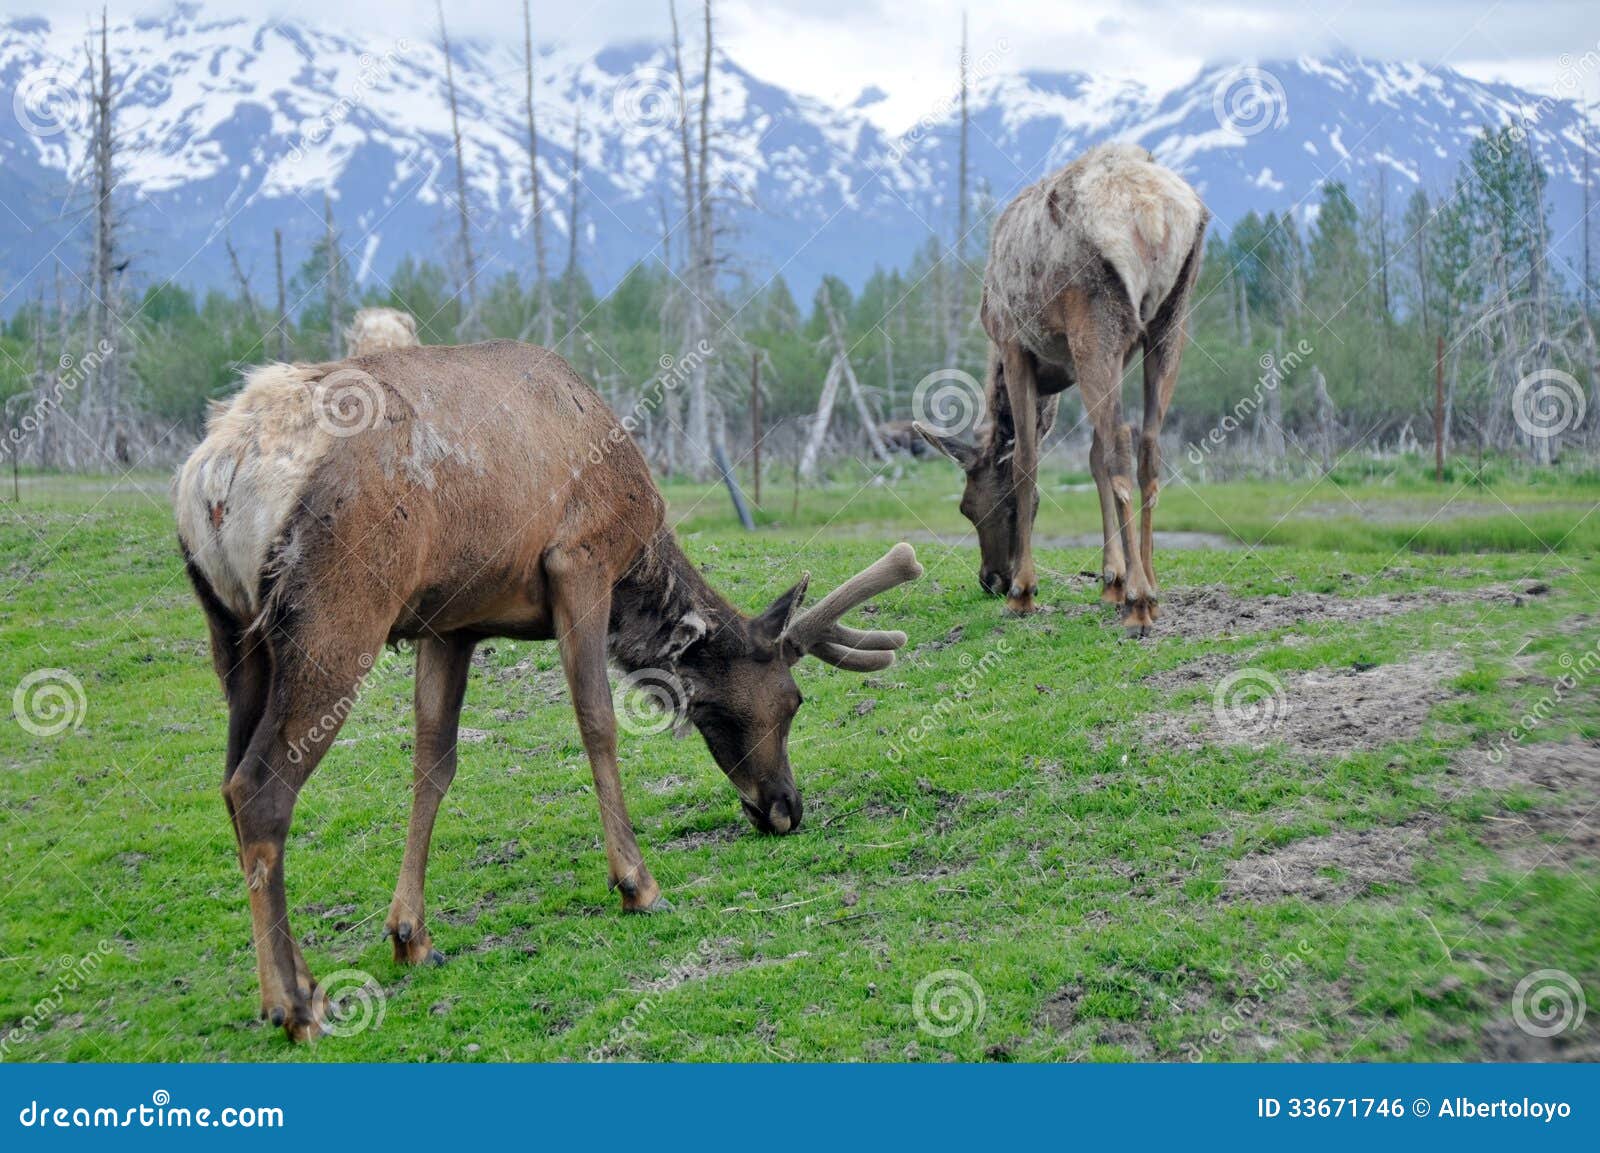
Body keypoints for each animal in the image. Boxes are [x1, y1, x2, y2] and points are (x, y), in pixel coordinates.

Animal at [174, 340, 924, 1042]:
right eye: (792, 700)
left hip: (233, 633)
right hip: (339, 612)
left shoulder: (452, 622)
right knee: (260, 788)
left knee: (229, 782)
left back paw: (298, 985)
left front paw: (411, 934)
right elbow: (598, 720)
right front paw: (636, 883)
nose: (787, 808)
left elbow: (434, 763)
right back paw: (295, 1005)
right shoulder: (578, 560)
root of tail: (217, 471)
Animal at [918, 143, 1208, 635]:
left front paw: (1024, 592)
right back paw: (1150, 585)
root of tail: (1154, 216)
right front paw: (1111, 579)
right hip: (1171, 320)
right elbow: (1091, 458)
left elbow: (1026, 461)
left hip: (1095, 318)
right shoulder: (1100, 357)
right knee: (1148, 442)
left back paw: (1139, 601)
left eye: (969, 506)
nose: (992, 579)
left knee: (1121, 443)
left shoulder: (1013, 342)